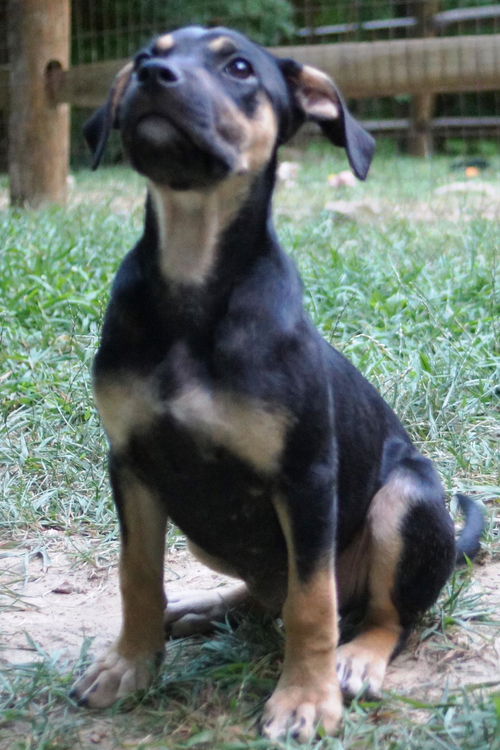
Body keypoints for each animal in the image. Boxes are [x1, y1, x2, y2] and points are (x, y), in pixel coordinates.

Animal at [72, 26, 482, 744]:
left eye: (239, 67)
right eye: (149, 53)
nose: (151, 76)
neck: (192, 285)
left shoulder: (307, 477)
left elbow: (312, 602)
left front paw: (307, 699)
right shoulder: (132, 465)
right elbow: (137, 575)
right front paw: (129, 665)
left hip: (404, 499)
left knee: (385, 614)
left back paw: (357, 659)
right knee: (267, 592)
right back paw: (203, 607)